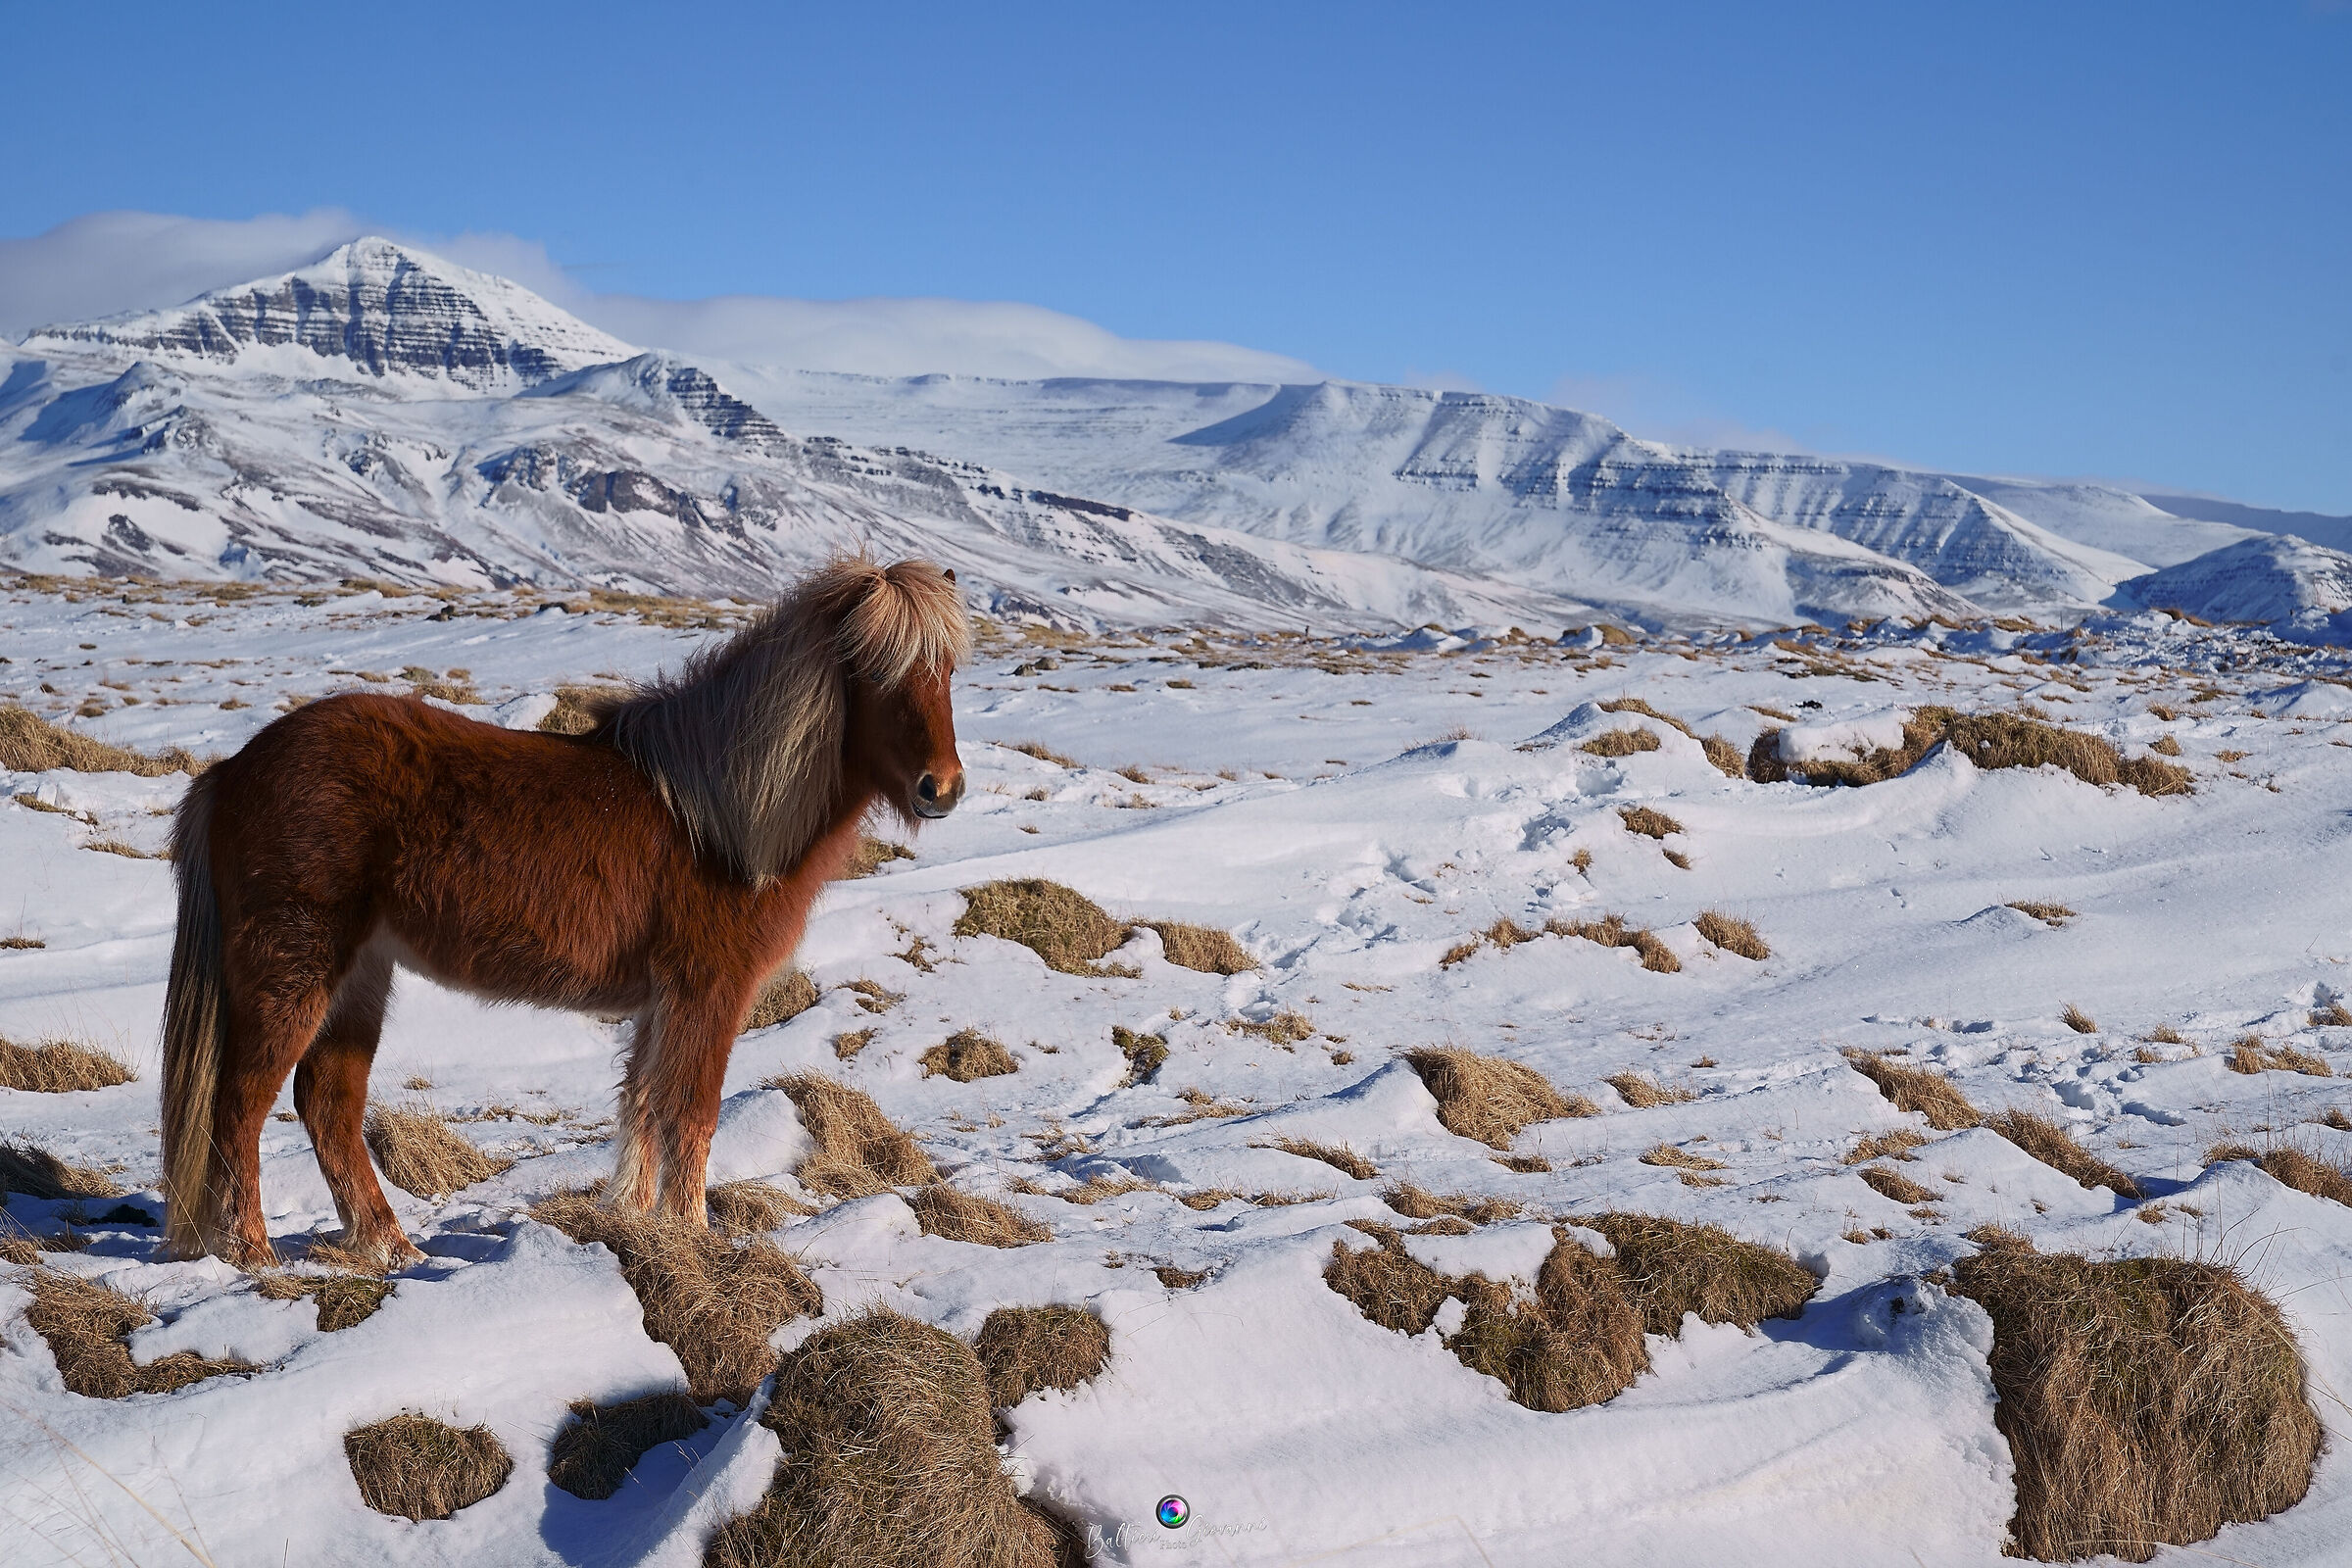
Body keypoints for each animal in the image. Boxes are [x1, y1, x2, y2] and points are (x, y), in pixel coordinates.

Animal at [158, 556, 970, 1270]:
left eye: (948, 673)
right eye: (872, 672)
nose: (943, 789)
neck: (721, 818)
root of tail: (233, 770)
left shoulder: (661, 1000)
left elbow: (642, 1107)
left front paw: (636, 1227)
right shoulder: (707, 990)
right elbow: (691, 1112)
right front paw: (695, 1240)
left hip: (361, 975)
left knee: (327, 1102)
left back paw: (391, 1248)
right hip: (297, 969)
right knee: (240, 1103)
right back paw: (254, 1254)